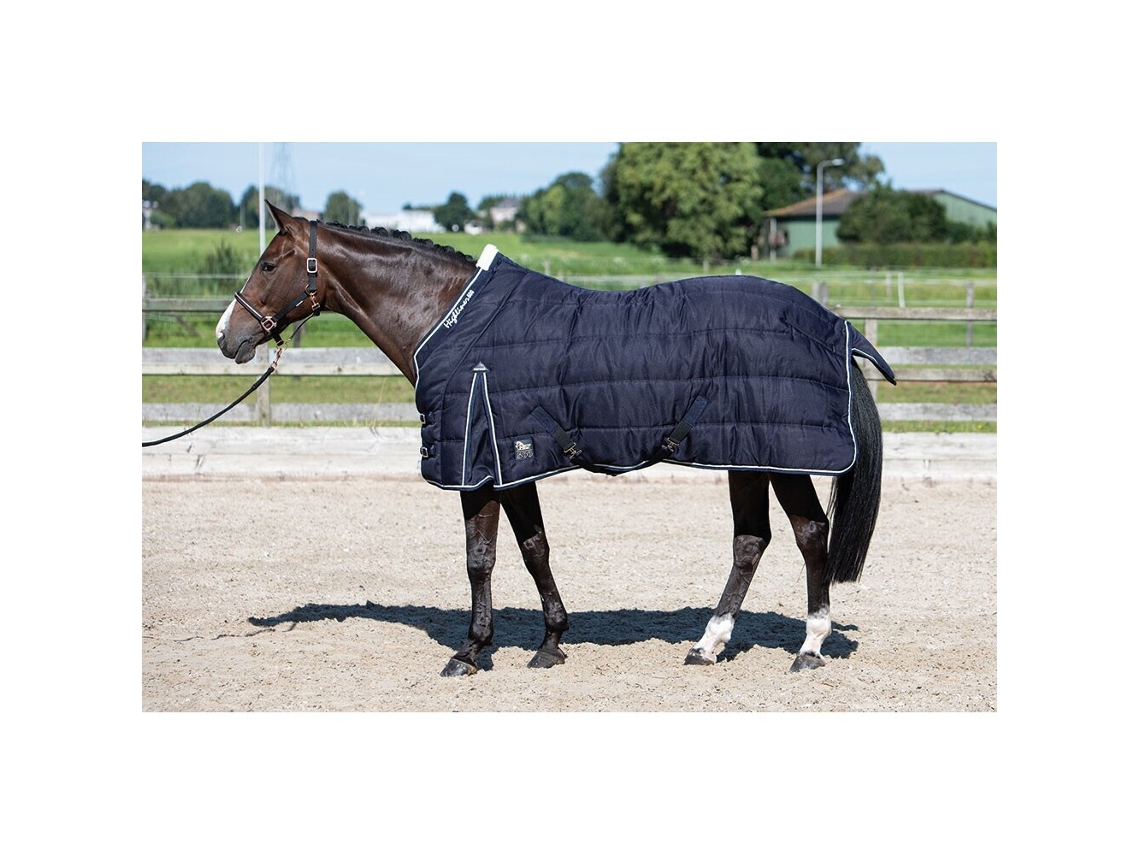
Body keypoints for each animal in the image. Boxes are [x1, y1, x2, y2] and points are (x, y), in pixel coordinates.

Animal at [216, 202, 893, 677]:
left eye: (269, 263)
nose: (227, 336)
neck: (449, 320)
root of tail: (834, 325)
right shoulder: (512, 463)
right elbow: (533, 547)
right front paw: (550, 642)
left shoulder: (477, 464)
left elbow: (481, 558)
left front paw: (471, 652)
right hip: (746, 455)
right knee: (752, 542)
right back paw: (708, 644)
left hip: (782, 456)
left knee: (809, 535)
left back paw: (808, 646)